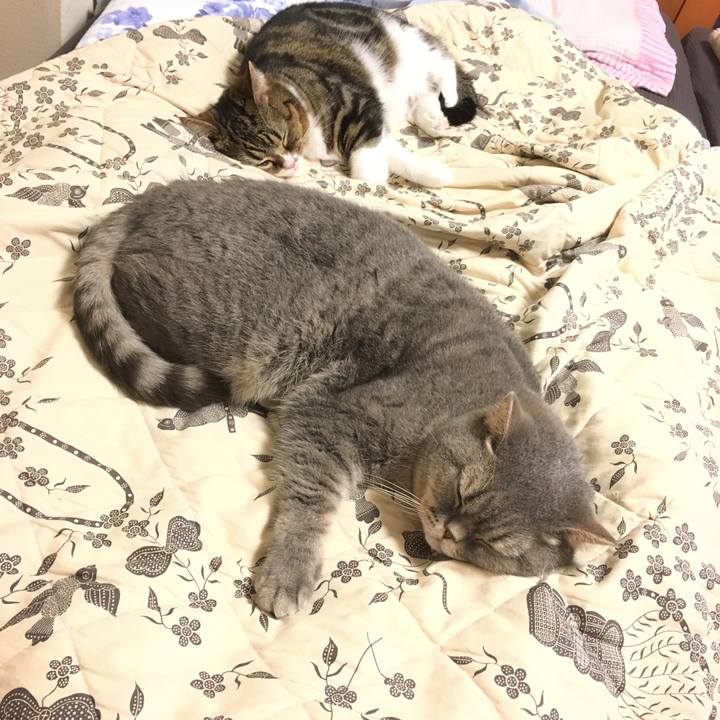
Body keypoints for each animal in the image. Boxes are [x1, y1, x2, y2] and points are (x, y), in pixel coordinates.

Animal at [74, 177, 613, 617]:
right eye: (461, 492)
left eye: (495, 546)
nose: (449, 532)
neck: (457, 405)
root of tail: (145, 200)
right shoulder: (328, 416)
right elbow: (312, 503)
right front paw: (290, 573)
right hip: (226, 329)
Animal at [182, 2, 478, 187]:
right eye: (263, 161)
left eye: (285, 138)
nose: (289, 164)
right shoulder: (376, 124)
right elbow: (390, 150)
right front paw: (435, 174)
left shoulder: (358, 103)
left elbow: (367, 157)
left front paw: (374, 174)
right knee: (423, 92)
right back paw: (433, 120)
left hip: (408, 44)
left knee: (443, 64)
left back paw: (449, 97)